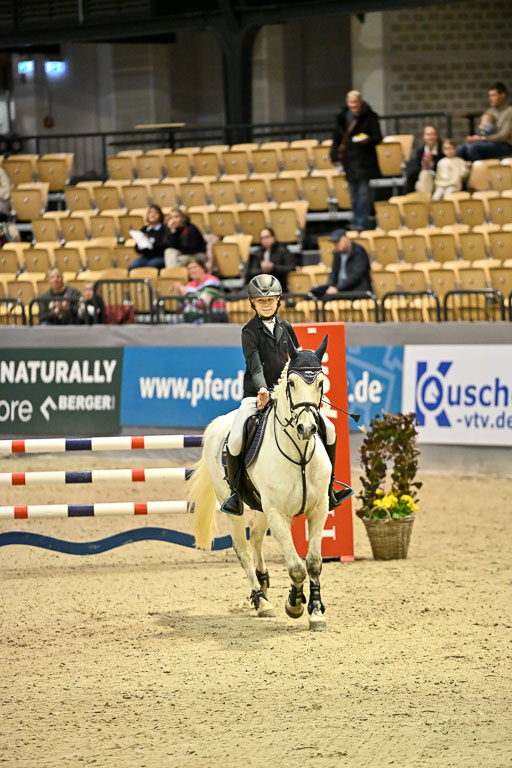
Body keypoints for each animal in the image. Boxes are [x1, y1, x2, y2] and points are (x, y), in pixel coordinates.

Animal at [186, 335, 337, 631]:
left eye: (321, 383)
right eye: (292, 384)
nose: (307, 428)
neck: (300, 453)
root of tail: (217, 424)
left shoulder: (319, 509)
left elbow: (313, 563)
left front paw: (315, 611)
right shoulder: (278, 514)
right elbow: (296, 567)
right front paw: (294, 604)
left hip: (261, 507)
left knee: (255, 537)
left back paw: (264, 582)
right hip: (233, 507)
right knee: (243, 549)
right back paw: (261, 601)